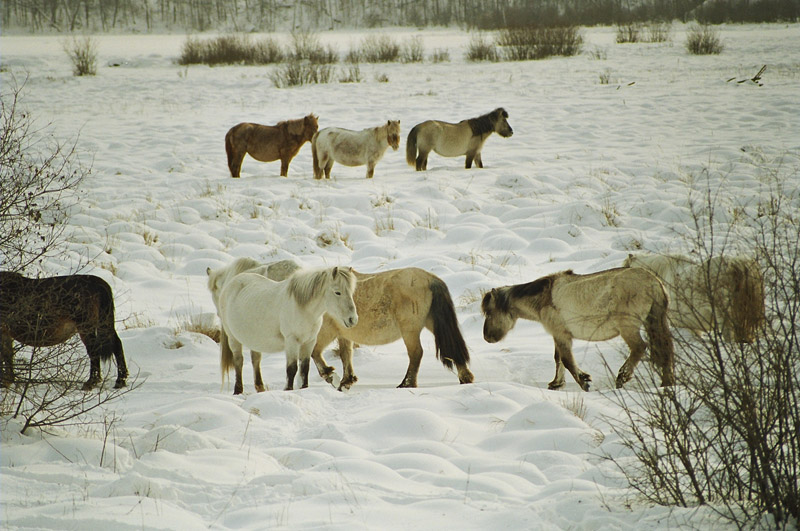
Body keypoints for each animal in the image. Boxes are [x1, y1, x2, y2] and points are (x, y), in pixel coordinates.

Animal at [216, 266, 358, 392]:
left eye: (351, 292)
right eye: (337, 292)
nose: (353, 319)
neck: (302, 308)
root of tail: (230, 284)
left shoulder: (309, 341)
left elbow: (305, 367)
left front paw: (304, 388)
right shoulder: (292, 341)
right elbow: (292, 368)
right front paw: (288, 389)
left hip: (254, 340)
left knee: (255, 360)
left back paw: (260, 388)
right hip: (233, 338)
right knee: (238, 361)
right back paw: (238, 390)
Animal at [308, 267, 474, 390]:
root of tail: (430, 278)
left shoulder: (327, 332)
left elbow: (315, 353)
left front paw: (331, 377)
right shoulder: (344, 334)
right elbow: (346, 355)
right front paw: (346, 381)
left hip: (410, 330)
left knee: (416, 353)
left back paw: (407, 384)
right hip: (431, 322)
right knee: (453, 348)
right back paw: (465, 377)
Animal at [481, 268, 675, 392]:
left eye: (489, 313)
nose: (487, 337)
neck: (544, 298)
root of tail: (655, 282)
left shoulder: (561, 334)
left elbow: (566, 360)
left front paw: (584, 382)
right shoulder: (559, 335)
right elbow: (558, 358)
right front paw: (556, 383)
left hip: (628, 327)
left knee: (639, 347)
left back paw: (622, 377)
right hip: (656, 322)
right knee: (666, 349)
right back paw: (667, 382)